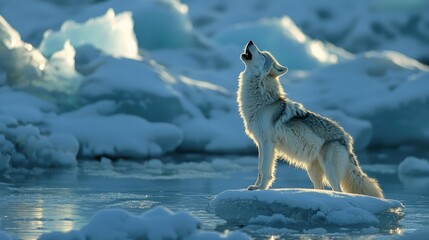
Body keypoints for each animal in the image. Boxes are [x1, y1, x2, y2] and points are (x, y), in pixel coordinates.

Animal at [237, 40, 382, 199]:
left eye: (263, 55)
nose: (250, 41)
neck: (262, 102)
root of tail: (347, 139)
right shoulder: (260, 144)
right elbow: (259, 169)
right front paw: (255, 187)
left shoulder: (268, 143)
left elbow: (265, 170)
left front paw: (262, 188)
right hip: (313, 172)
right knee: (321, 189)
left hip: (329, 170)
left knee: (338, 190)